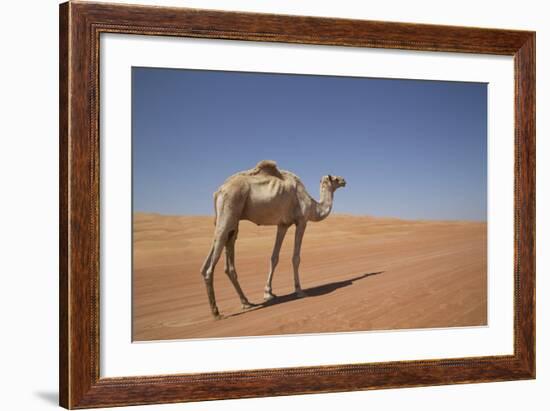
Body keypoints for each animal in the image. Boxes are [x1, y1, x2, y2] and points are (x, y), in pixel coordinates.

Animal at [201, 160, 348, 318]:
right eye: (335, 178)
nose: (344, 180)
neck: (311, 205)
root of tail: (219, 191)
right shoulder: (302, 221)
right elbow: (296, 258)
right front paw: (299, 290)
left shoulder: (283, 224)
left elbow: (274, 257)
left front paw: (268, 293)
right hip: (229, 207)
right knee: (212, 260)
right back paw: (216, 312)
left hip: (230, 220)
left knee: (221, 251)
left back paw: (246, 302)